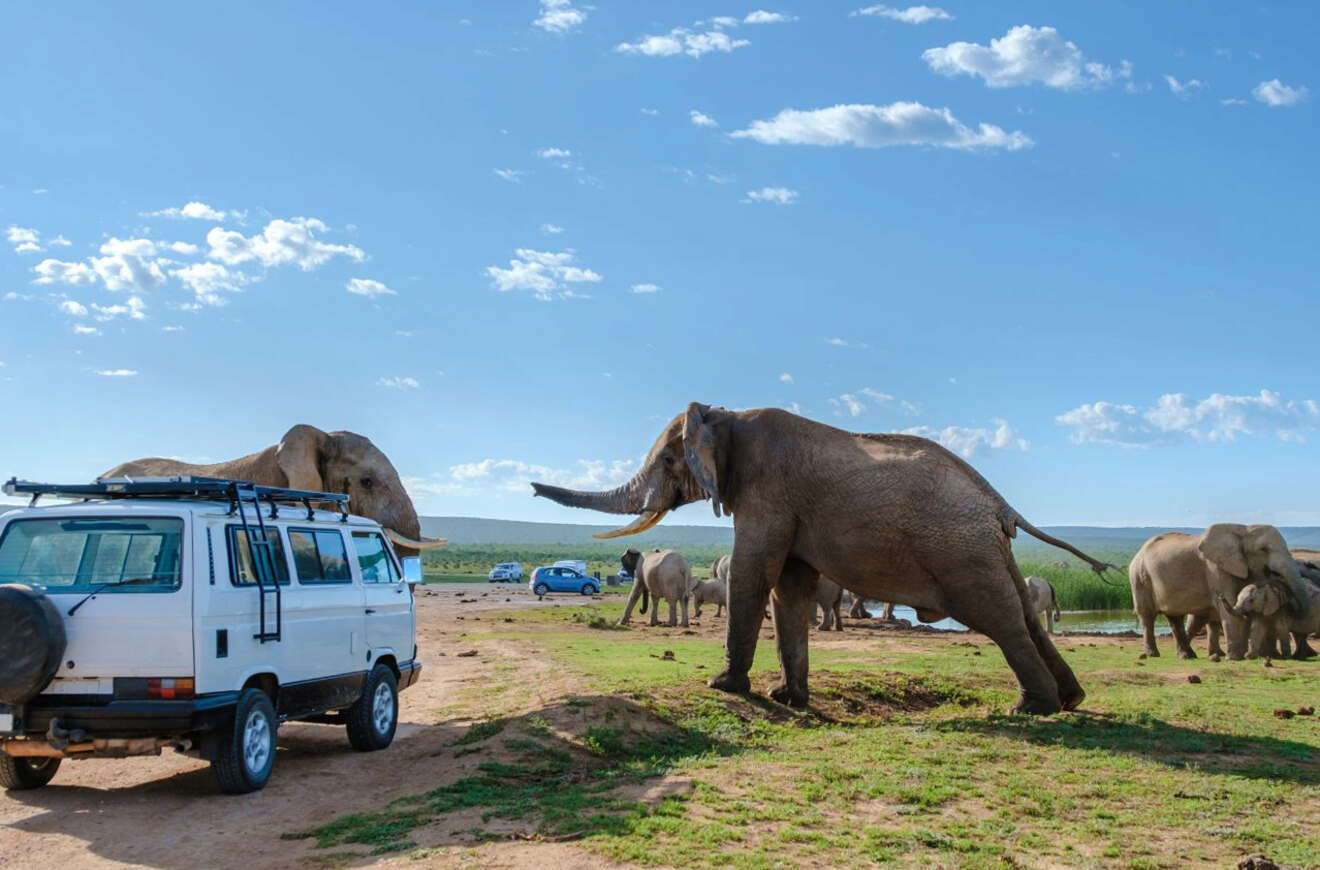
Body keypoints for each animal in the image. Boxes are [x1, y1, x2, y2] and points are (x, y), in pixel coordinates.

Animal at [530, 401, 1108, 712]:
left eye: (671, 462)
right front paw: (787, 697)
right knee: (1021, 615)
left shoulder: (767, 493)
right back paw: (1072, 701)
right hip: (987, 551)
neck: (727, 413)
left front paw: (723, 687)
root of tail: (998, 503)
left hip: (961, 551)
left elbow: (754, 573)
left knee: (999, 620)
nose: (531, 487)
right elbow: (789, 588)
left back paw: (1033, 708)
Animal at [1129, 525, 1314, 660]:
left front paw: (1243, 656)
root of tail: (1138, 552)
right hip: (1140, 577)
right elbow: (1231, 606)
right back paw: (1153, 655)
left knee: (1176, 617)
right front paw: (1236, 658)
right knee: (1147, 616)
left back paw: (1187, 655)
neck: (1242, 531)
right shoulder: (1216, 569)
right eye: (1263, 549)